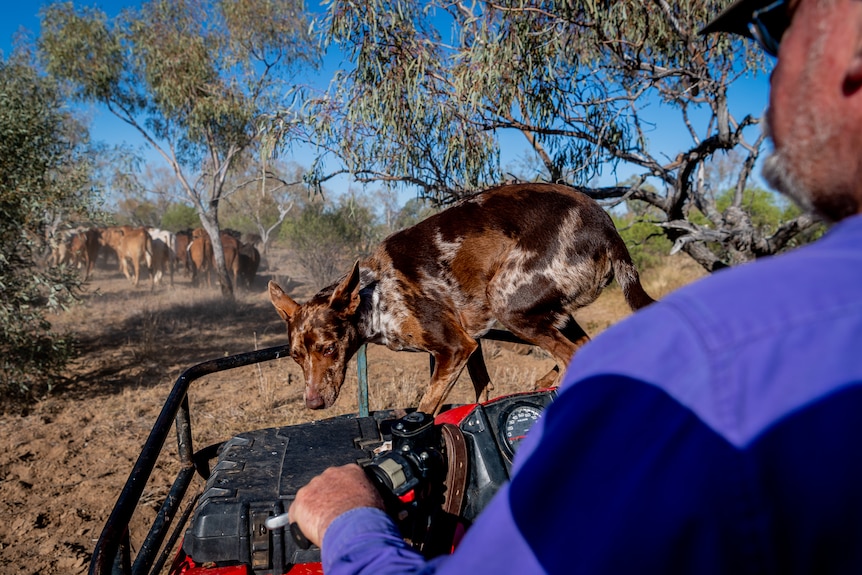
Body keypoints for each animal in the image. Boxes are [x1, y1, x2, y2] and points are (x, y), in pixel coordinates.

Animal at [270, 183, 656, 414]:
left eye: (329, 349)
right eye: (295, 357)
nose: (312, 403)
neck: (374, 295)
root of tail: (608, 227)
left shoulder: (455, 347)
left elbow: (426, 407)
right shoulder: (471, 342)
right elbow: (481, 390)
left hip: (509, 304)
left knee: (571, 354)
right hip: (549, 311)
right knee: (582, 348)